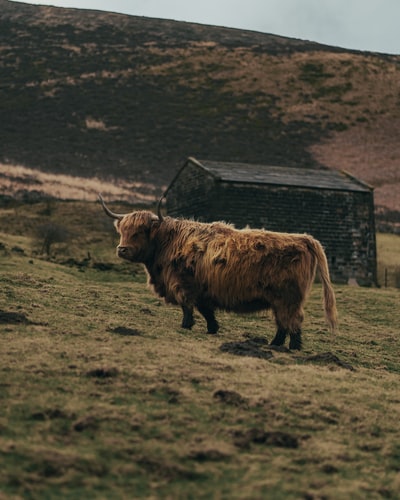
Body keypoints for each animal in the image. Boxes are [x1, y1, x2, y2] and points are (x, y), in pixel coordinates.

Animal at [98, 193, 336, 350]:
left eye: (139, 232)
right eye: (123, 230)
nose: (122, 249)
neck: (167, 242)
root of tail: (304, 238)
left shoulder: (182, 283)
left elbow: (187, 306)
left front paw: (186, 326)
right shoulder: (203, 289)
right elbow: (205, 310)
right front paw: (212, 328)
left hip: (287, 298)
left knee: (292, 321)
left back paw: (292, 347)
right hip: (281, 300)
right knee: (283, 322)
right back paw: (275, 344)